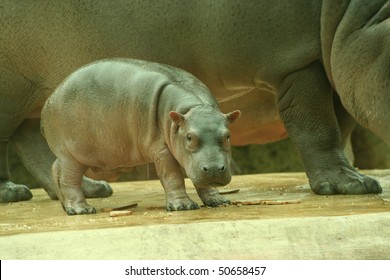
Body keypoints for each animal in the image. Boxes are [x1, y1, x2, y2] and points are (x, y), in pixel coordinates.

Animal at [41, 59, 239, 215]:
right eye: (189, 137)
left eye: (228, 136)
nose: (214, 169)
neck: (194, 109)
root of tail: (47, 104)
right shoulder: (162, 150)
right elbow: (172, 176)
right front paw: (183, 206)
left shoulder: (197, 163)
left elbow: (203, 182)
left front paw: (218, 201)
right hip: (70, 154)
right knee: (68, 180)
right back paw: (82, 210)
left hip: (71, 154)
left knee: (55, 169)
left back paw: (66, 207)